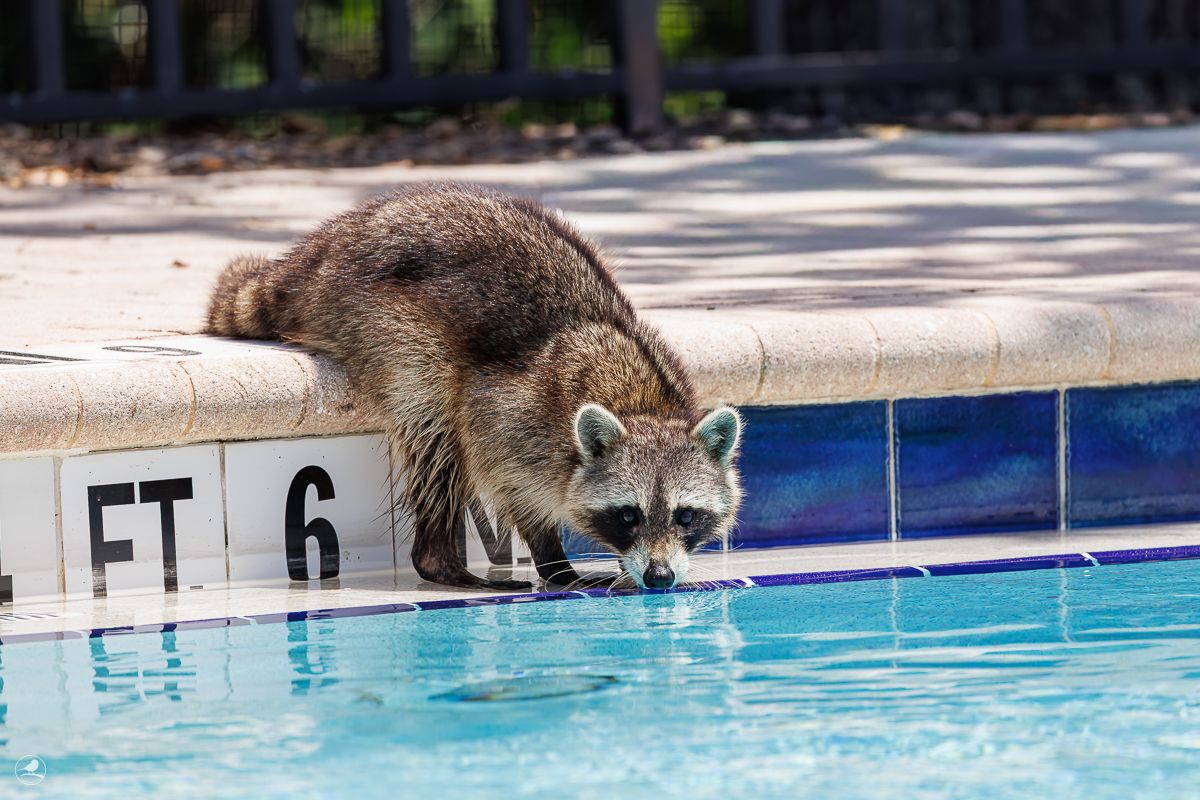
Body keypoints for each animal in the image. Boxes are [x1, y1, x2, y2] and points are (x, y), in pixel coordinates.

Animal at [206, 182, 743, 591]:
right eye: (628, 515)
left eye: (686, 516)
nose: (659, 577)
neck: (639, 402)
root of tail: (319, 252)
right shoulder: (518, 413)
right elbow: (510, 477)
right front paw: (553, 559)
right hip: (378, 314)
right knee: (436, 423)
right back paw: (440, 559)